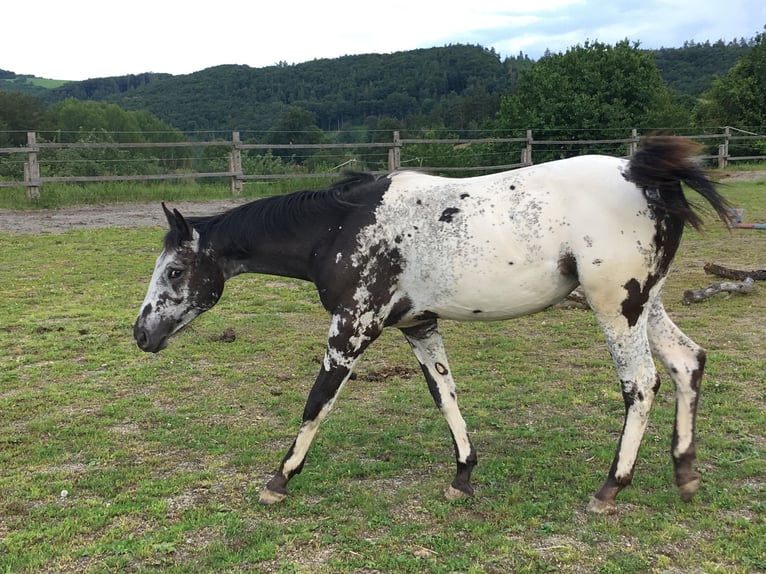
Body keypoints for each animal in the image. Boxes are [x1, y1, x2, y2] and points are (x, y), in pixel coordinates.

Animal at [132, 137, 732, 516]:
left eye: (175, 270)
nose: (141, 335)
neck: (341, 227)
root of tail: (644, 175)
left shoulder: (354, 327)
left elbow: (318, 400)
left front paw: (279, 480)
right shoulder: (418, 325)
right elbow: (445, 396)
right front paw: (462, 476)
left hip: (616, 308)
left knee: (641, 384)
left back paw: (610, 489)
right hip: (645, 304)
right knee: (686, 362)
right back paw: (685, 475)